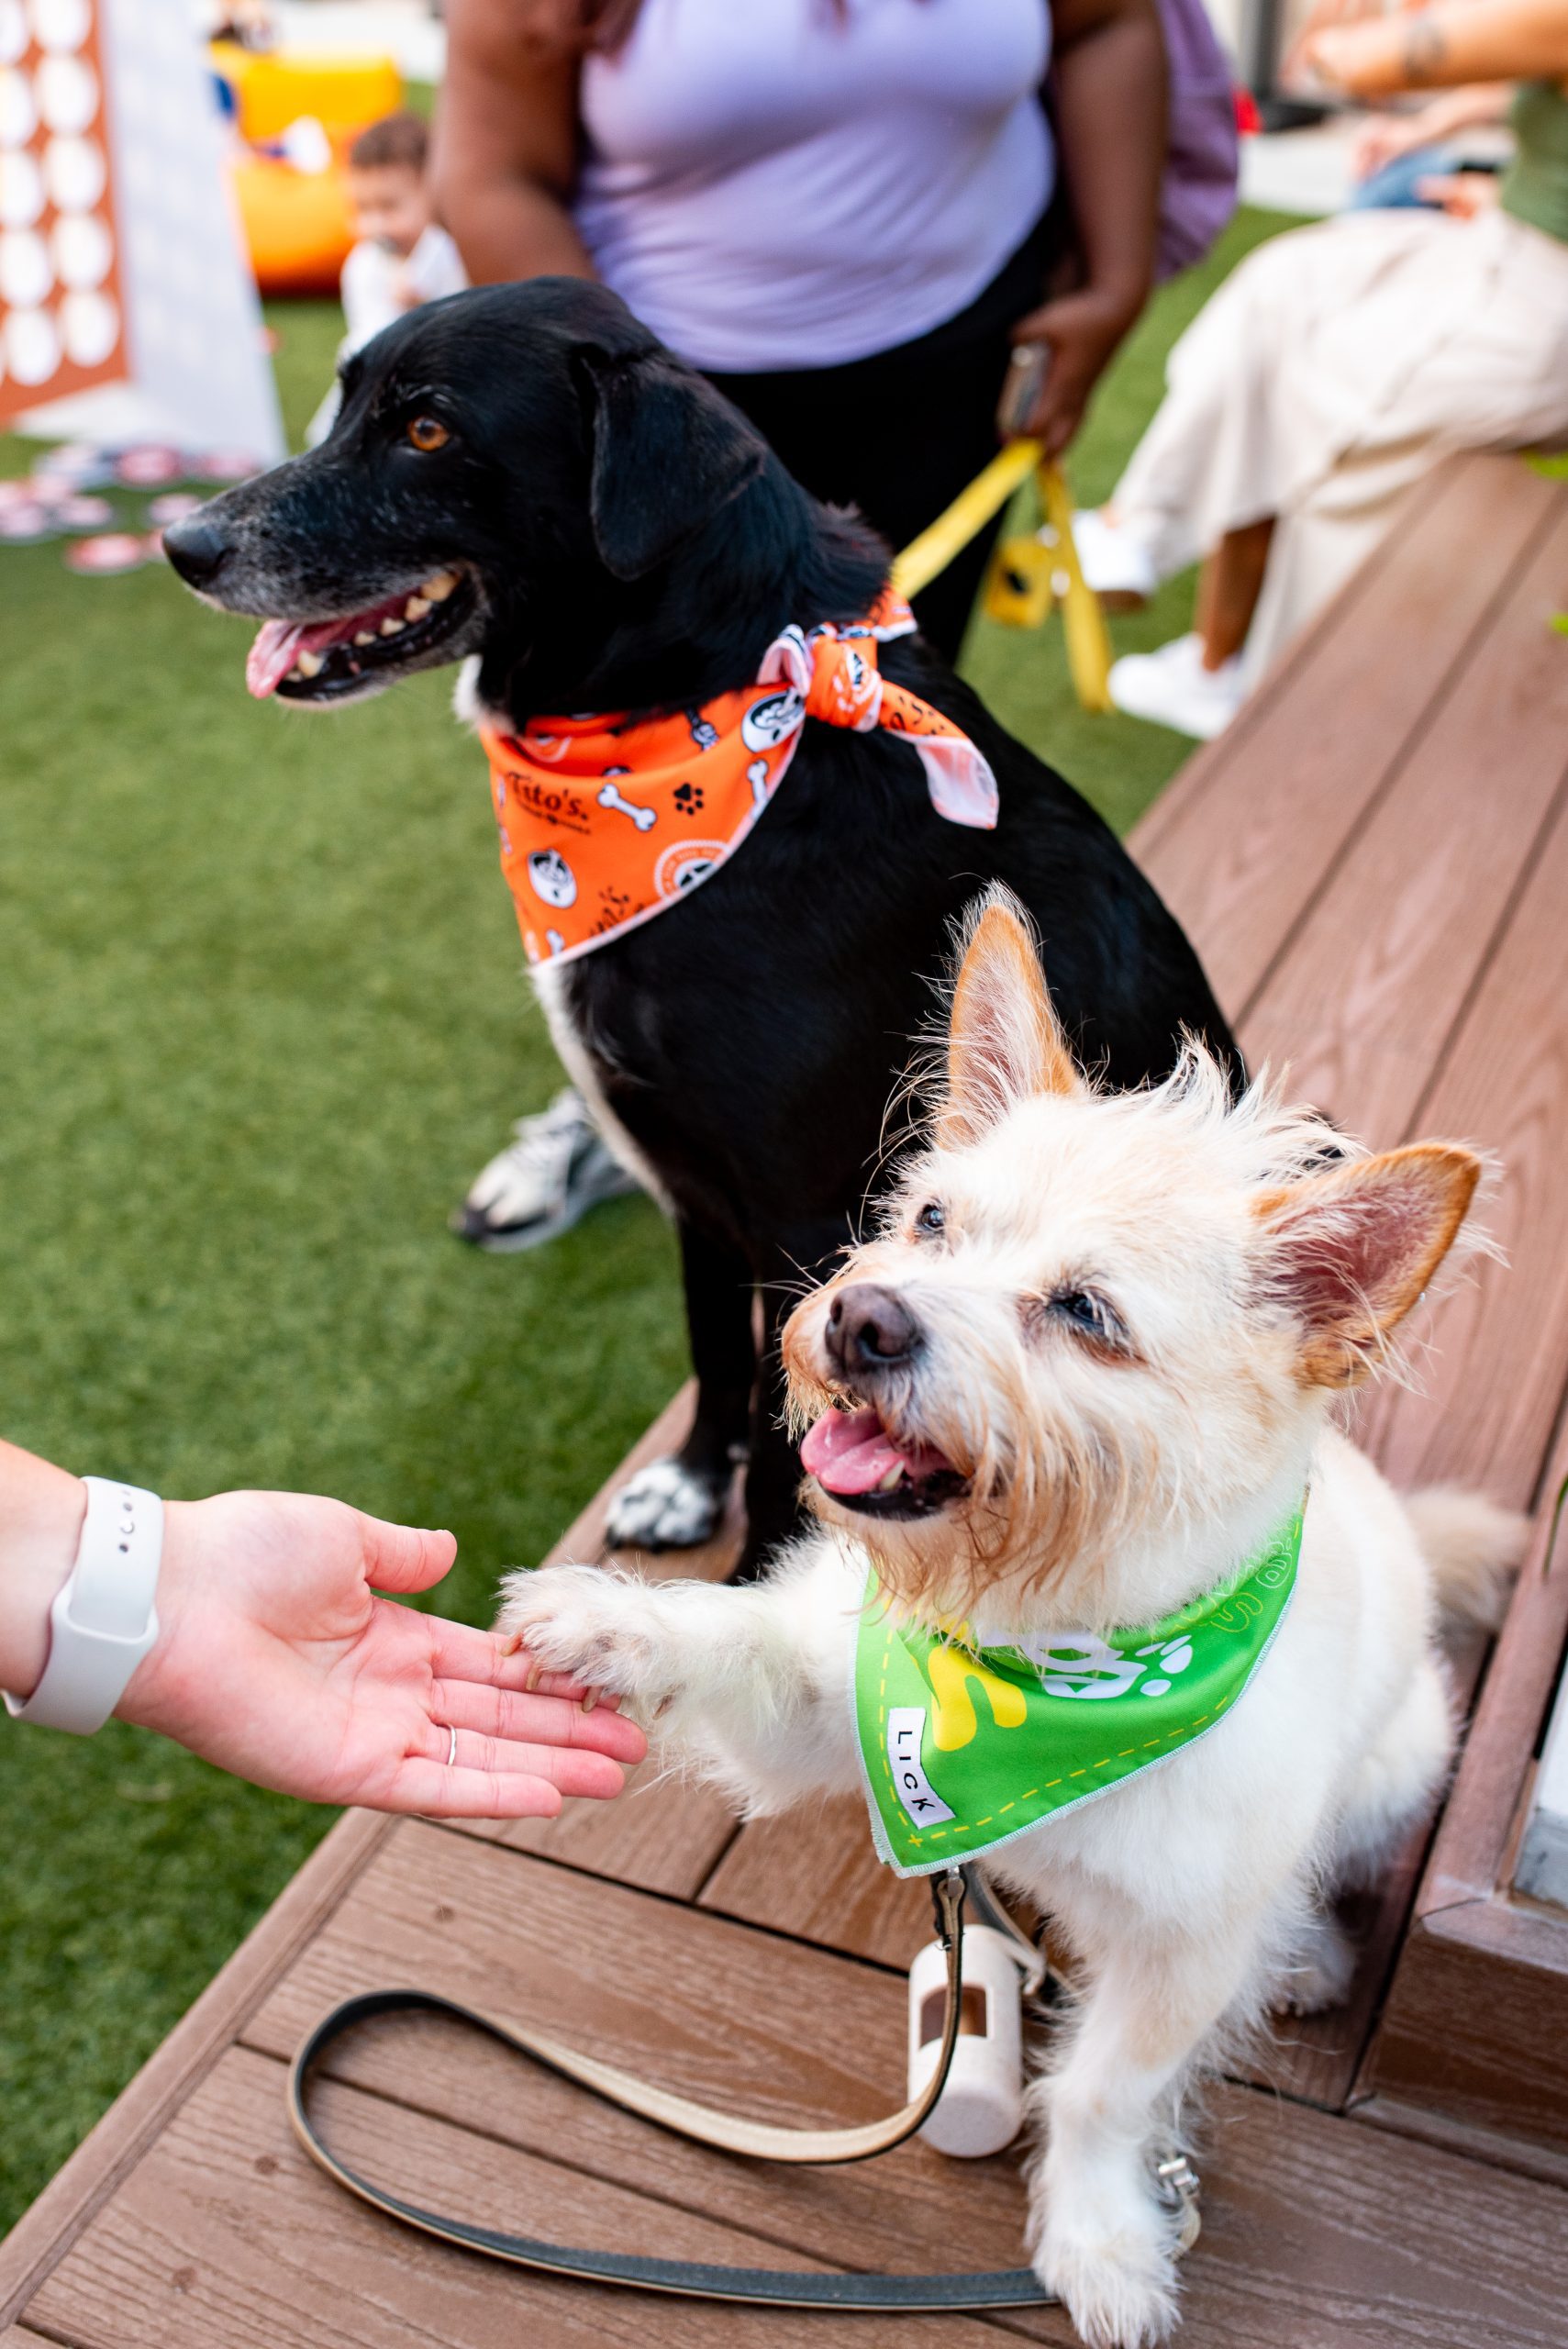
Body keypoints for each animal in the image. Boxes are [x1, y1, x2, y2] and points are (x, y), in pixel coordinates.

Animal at [162, 278, 1241, 1577]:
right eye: (343, 399)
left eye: (425, 430)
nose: (185, 545)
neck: (705, 721)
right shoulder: (691, 1184)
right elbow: (717, 1355)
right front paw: (685, 1486)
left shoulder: (807, 1220)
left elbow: (791, 1431)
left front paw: (754, 1578)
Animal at [495, 893, 1522, 2348]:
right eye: (930, 1218)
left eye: (1085, 1312)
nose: (859, 1317)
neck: (1040, 1654)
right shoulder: (828, 1702)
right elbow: (742, 1643)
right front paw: (606, 1623)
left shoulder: (1179, 1953)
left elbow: (1101, 2091)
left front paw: (1099, 2239)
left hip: (1403, 1763)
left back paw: (1309, 1954)